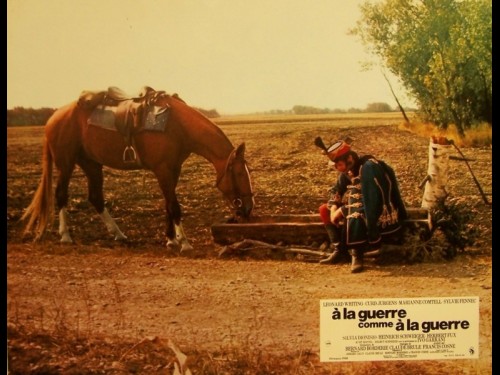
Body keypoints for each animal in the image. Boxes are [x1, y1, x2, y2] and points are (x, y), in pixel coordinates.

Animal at [20, 87, 254, 253]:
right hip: (66, 162)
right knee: (61, 195)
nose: (248, 208)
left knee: (96, 197)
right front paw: (184, 243)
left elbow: (168, 204)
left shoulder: (173, 169)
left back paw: (119, 234)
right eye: (239, 173)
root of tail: (54, 117)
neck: (177, 126)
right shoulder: (163, 170)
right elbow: (174, 206)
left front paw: (171, 240)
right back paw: (66, 236)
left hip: (91, 164)